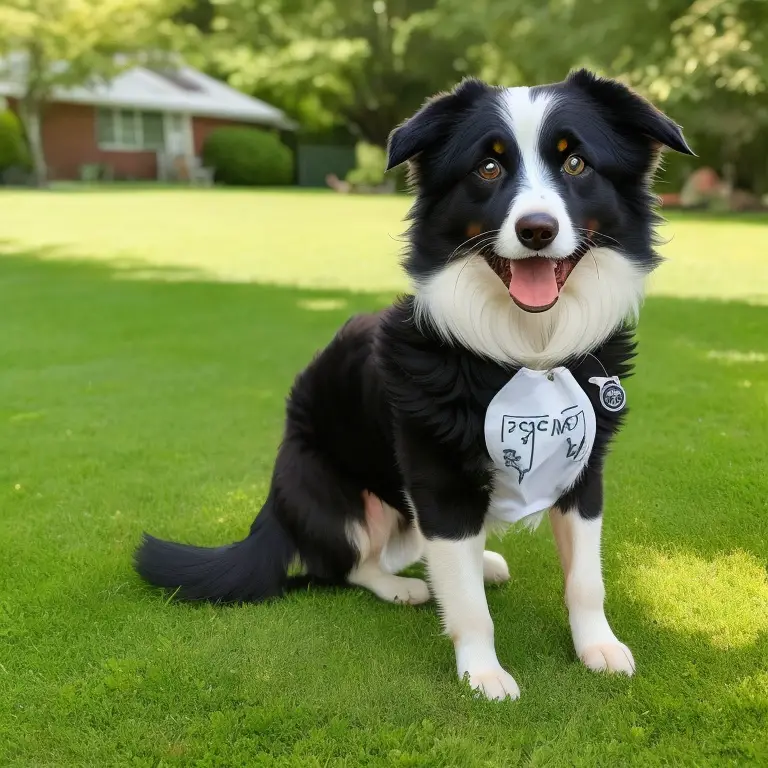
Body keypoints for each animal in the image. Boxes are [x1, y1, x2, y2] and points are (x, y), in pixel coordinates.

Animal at [135, 72, 692, 704]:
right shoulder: (438, 486)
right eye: (488, 168)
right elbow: (469, 607)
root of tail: (273, 509)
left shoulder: (584, 471)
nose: (536, 230)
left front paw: (597, 646)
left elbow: (586, 580)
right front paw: (482, 673)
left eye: (575, 162)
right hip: (345, 498)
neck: (527, 351)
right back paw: (405, 587)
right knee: (350, 565)